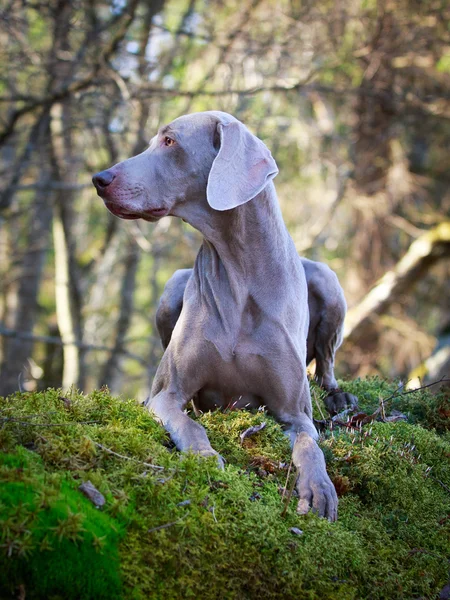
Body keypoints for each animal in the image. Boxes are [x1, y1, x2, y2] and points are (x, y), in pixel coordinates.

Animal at [93, 109, 356, 520]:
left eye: (169, 141)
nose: (99, 179)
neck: (238, 271)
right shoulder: (166, 394)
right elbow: (190, 425)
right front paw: (204, 459)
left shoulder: (294, 413)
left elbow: (309, 445)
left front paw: (319, 488)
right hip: (173, 286)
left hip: (327, 280)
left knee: (326, 367)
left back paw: (339, 396)